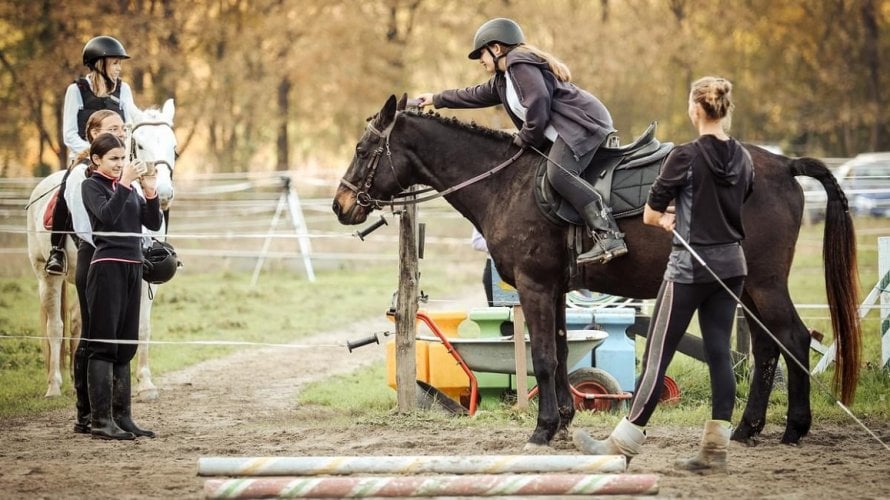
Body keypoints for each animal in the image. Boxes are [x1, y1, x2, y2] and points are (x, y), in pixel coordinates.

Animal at [26, 100, 177, 398]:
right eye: (140, 144)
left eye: (173, 145)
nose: (164, 192)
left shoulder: (144, 280)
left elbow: (142, 327)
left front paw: (145, 383)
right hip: (46, 276)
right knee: (55, 327)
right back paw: (54, 386)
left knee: (76, 322)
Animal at [330, 94, 856, 450]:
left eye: (362, 149)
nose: (340, 205)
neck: (506, 183)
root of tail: (783, 164)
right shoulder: (556, 289)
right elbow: (562, 354)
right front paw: (564, 420)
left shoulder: (535, 286)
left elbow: (544, 357)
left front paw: (543, 429)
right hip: (746, 287)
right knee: (769, 347)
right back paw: (748, 429)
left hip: (763, 284)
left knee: (791, 339)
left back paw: (794, 427)